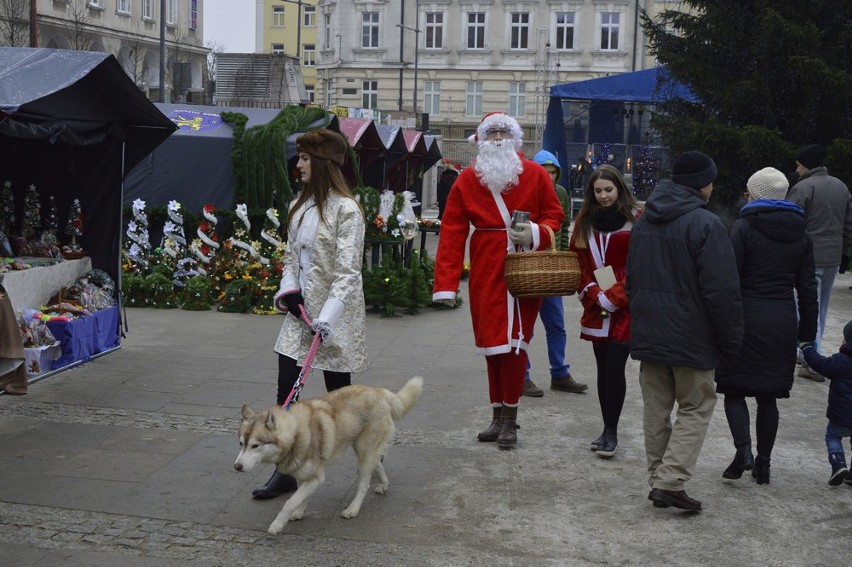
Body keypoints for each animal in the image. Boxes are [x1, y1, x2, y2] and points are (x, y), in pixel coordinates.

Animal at [233, 380, 422, 536]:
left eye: (255, 446)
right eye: (241, 444)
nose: (237, 467)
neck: (296, 433)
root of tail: (379, 391)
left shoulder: (317, 477)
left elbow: (290, 502)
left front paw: (277, 525)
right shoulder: (302, 473)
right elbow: (300, 497)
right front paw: (299, 512)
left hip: (363, 452)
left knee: (364, 484)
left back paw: (353, 509)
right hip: (362, 448)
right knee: (377, 462)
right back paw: (383, 484)